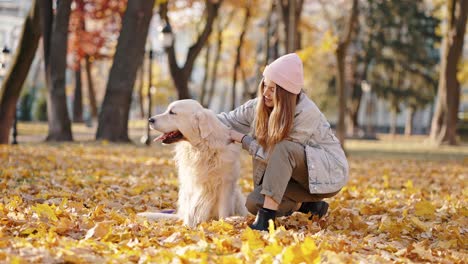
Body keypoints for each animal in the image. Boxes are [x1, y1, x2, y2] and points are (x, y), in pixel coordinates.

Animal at [137, 99, 249, 227]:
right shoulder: (190, 184)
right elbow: (191, 211)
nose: (150, 119)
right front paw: (188, 227)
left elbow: (223, 211)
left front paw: (222, 224)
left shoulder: (225, 184)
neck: (200, 148)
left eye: (172, 112)